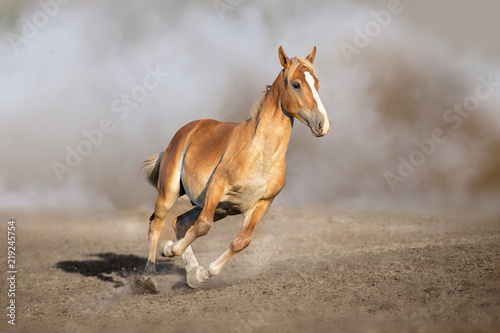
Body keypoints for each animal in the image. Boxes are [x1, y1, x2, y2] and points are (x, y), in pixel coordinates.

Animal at [141, 45, 330, 286]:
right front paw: (169, 250)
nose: (323, 124)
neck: (261, 156)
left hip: (219, 208)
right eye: (296, 84)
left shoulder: (261, 204)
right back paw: (149, 275)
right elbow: (203, 226)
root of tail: (187, 130)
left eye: (317, 83)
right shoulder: (217, 187)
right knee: (156, 224)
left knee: (179, 222)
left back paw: (191, 273)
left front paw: (201, 274)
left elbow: (241, 241)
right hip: (170, 193)